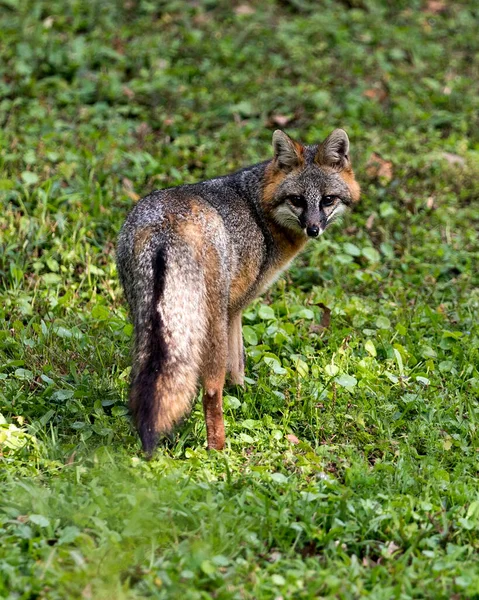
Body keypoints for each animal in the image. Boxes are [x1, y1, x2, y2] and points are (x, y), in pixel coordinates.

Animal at [117, 130, 360, 454]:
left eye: (328, 200)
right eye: (297, 200)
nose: (313, 229)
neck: (257, 209)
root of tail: (165, 224)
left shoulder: (232, 310)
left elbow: (237, 366)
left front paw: (243, 396)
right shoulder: (236, 307)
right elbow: (238, 362)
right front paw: (244, 395)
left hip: (145, 323)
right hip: (209, 327)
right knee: (210, 391)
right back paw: (218, 449)